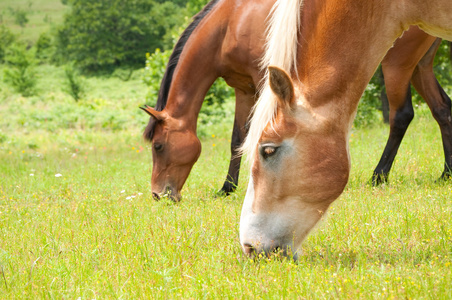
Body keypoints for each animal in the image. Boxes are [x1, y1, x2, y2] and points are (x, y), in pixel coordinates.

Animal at [141, 0, 452, 203]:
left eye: (158, 146)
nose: (158, 194)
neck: (232, 20)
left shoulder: (263, 82)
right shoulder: (243, 88)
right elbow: (237, 138)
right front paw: (227, 187)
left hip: (396, 65)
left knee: (402, 115)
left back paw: (378, 176)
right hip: (420, 68)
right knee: (443, 110)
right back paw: (446, 174)